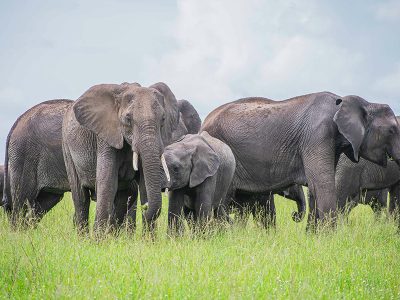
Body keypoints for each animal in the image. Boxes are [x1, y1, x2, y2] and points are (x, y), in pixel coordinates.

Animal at [62, 82, 183, 232]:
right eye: (128, 119)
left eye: (163, 119)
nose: (145, 207)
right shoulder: (106, 136)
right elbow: (107, 184)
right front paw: (98, 238)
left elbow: (144, 185)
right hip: (66, 147)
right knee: (81, 198)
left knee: (123, 196)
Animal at [202, 94, 400, 227]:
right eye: (392, 130)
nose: (294, 216)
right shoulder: (318, 136)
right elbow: (323, 183)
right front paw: (330, 240)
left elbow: (315, 186)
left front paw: (314, 237)